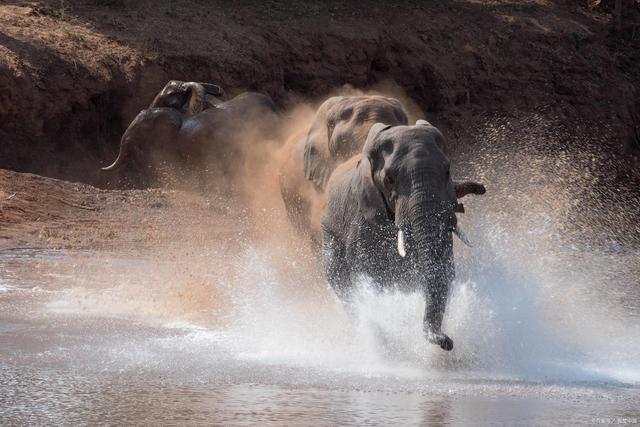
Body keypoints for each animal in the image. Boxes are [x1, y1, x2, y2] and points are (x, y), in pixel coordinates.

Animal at [320, 119, 484, 352]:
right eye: (389, 179)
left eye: (447, 170)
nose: (448, 342)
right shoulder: (362, 221)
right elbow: (370, 275)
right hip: (330, 236)